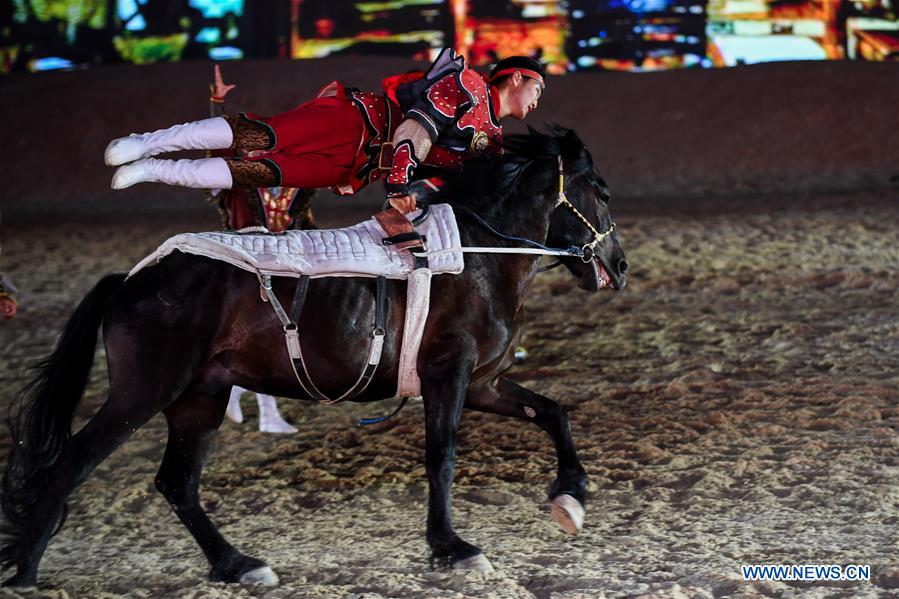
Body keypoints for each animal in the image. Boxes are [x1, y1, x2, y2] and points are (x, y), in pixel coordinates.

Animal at [0, 125, 628, 584]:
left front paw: (570, 496)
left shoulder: (482, 384)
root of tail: (131, 279)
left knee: (177, 483)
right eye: (600, 190)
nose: (618, 266)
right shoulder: (448, 377)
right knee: (72, 464)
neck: (477, 256)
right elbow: (442, 458)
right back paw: (27, 570)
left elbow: (553, 413)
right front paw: (451, 547)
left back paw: (237, 564)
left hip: (199, 398)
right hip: (143, 393)